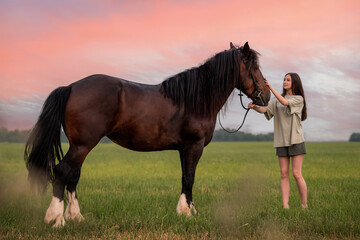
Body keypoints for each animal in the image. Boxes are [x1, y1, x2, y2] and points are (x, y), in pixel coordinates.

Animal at [24, 41, 270, 227]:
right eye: (255, 68)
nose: (266, 96)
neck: (195, 98)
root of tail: (71, 87)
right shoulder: (194, 146)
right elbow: (189, 178)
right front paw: (187, 213)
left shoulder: (184, 148)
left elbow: (185, 177)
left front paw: (187, 210)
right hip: (83, 145)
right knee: (62, 171)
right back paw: (56, 219)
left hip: (79, 145)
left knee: (73, 175)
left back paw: (76, 217)